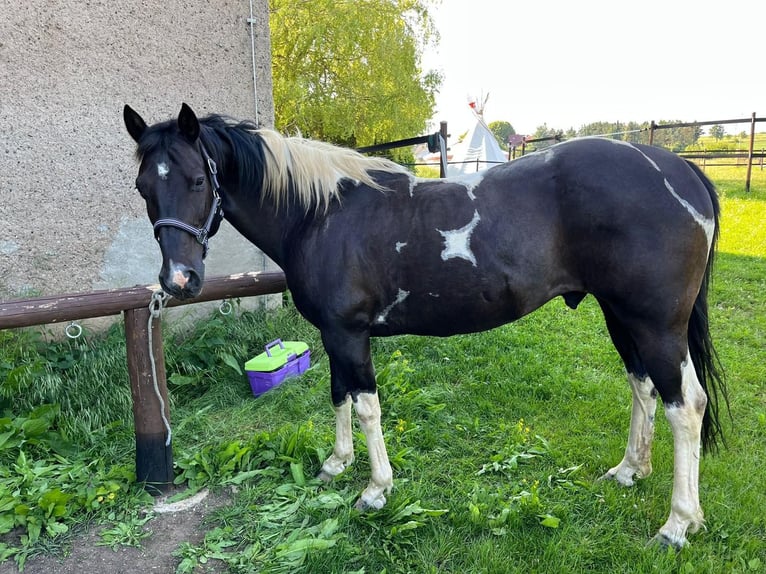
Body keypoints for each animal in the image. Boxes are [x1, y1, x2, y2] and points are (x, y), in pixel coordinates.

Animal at [123, 103, 728, 548]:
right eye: (143, 187)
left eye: (197, 179)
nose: (179, 280)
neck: (319, 213)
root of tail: (677, 170)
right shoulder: (333, 334)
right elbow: (337, 394)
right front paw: (337, 464)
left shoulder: (349, 334)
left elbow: (366, 405)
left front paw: (376, 489)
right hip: (620, 315)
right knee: (643, 387)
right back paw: (630, 471)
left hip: (656, 325)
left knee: (686, 406)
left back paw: (679, 524)